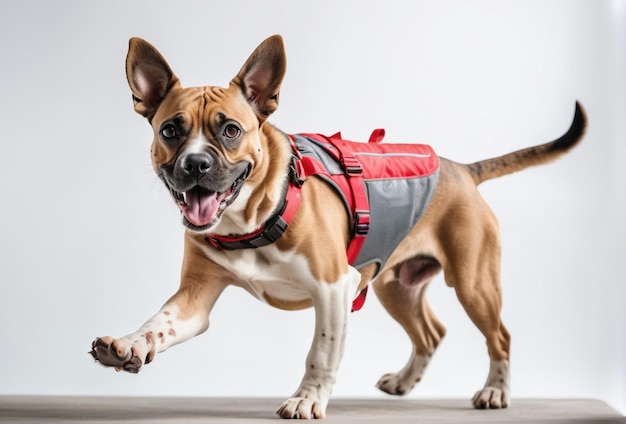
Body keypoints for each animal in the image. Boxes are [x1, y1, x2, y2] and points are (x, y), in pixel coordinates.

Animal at [91, 34, 584, 420]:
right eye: (170, 131)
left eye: (230, 130)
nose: (195, 164)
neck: (251, 219)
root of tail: (462, 169)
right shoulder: (195, 299)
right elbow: (160, 323)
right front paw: (130, 345)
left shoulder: (333, 288)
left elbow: (321, 352)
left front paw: (307, 400)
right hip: (394, 285)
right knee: (431, 332)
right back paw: (405, 381)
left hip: (473, 282)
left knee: (499, 335)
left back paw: (495, 391)